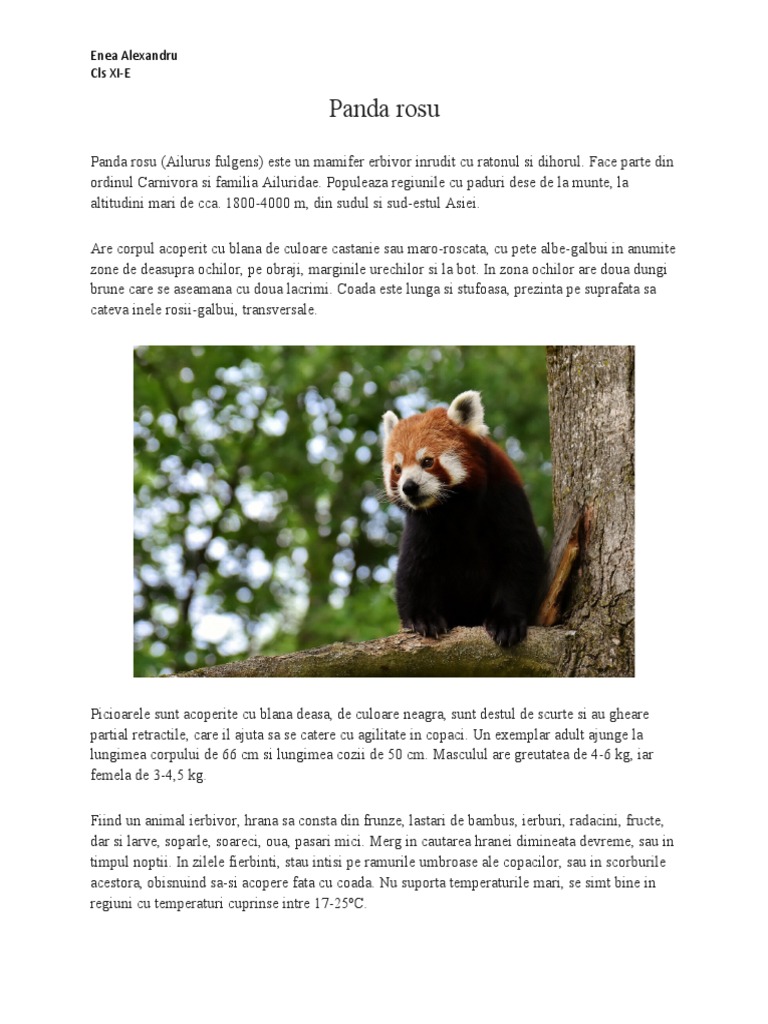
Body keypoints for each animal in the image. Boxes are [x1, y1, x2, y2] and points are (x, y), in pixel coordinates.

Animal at [382, 390, 545, 647]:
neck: (453, 509)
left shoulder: (505, 500)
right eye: (397, 469)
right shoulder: (422, 526)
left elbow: (520, 557)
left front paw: (506, 621)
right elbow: (412, 569)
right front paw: (423, 619)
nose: (408, 487)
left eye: (427, 461)